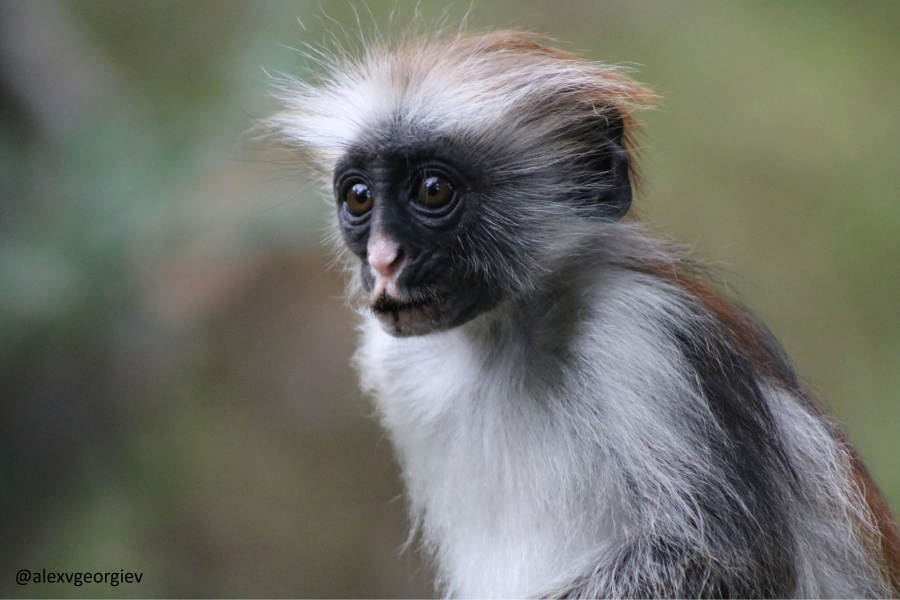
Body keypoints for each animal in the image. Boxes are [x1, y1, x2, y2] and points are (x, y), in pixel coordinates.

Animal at [268, 31, 900, 600]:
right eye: (359, 198)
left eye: (432, 190)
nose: (382, 259)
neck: (506, 336)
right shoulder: (393, 365)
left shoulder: (643, 330)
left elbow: (724, 562)